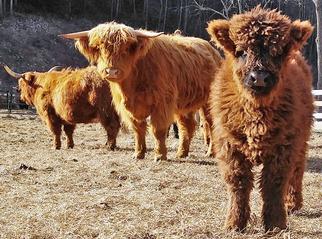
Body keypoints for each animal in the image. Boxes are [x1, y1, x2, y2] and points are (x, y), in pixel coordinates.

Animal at [60, 22, 221, 161]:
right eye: (99, 48)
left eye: (125, 49)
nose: (111, 71)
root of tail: (213, 51)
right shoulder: (130, 108)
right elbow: (138, 129)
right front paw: (138, 154)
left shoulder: (161, 104)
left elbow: (158, 130)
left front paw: (160, 155)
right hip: (184, 104)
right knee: (186, 126)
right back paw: (182, 153)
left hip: (208, 102)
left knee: (210, 125)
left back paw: (210, 153)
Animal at [206, 7, 314, 232]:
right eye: (242, 51)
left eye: (277, 52)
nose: (259, 78)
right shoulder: (229, 146)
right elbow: (238, 183)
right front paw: (234, 223)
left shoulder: (284, 146)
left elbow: (274, 183)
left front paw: (275, 224)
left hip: (301, 139)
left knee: (297, 170)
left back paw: (292, 203)